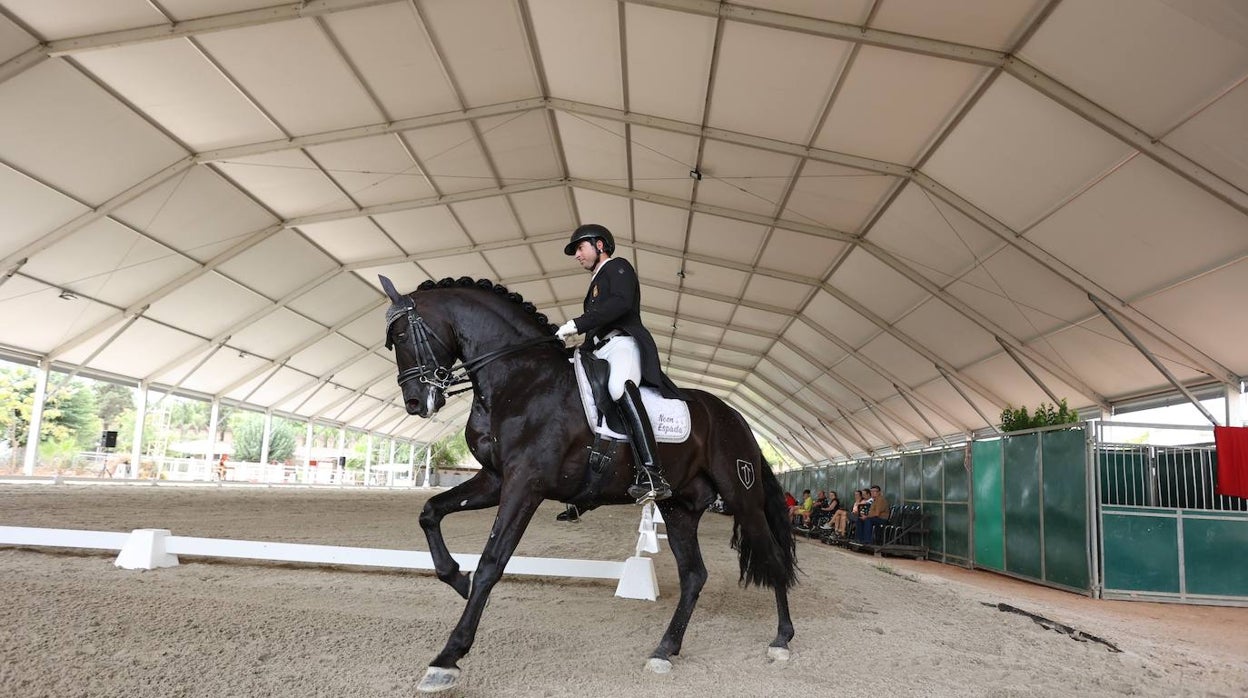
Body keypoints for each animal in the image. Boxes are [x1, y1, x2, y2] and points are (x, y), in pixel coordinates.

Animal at [376, 275, 798, 689]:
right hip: (679, 507)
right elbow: (430, 512)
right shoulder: (495, 480)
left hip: (743, 498)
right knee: (694, 575)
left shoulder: (524, 484)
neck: (519, 377)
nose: (415, 403)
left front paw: (448, 658)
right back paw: (664, 650)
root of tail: (737, 418)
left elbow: (491, 563)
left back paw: (782, 640)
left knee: (773, 558)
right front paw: (457, 579)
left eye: (402, 335)